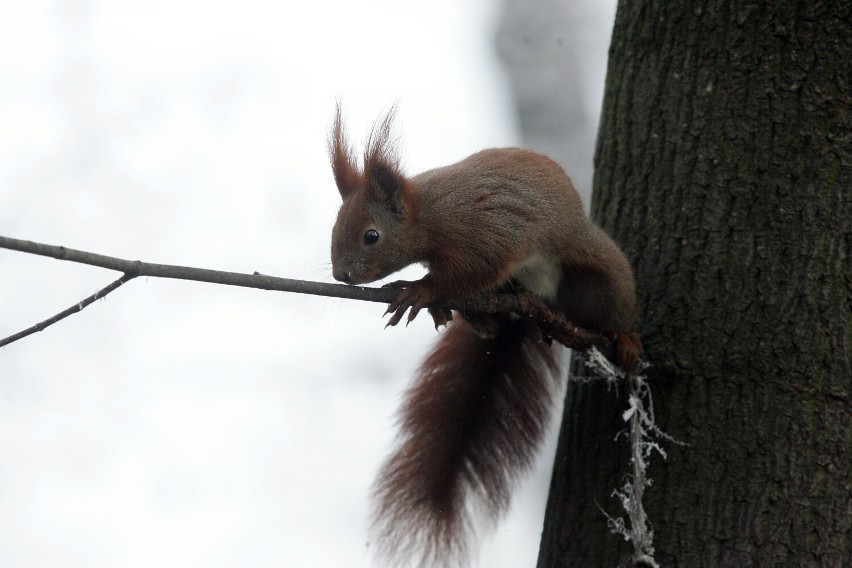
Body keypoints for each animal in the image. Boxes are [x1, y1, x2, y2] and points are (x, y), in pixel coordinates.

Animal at [330, 107, 644, 568]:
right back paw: (480, 320)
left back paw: (624, 337)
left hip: (597, 269)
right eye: (336, 225)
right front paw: (436, 304)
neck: (429, 214)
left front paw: (420, 290)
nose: (341, 275)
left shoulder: (487, 231)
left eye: (372, 235)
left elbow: (471, 270)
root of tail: (537, 298)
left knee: (614, 302)